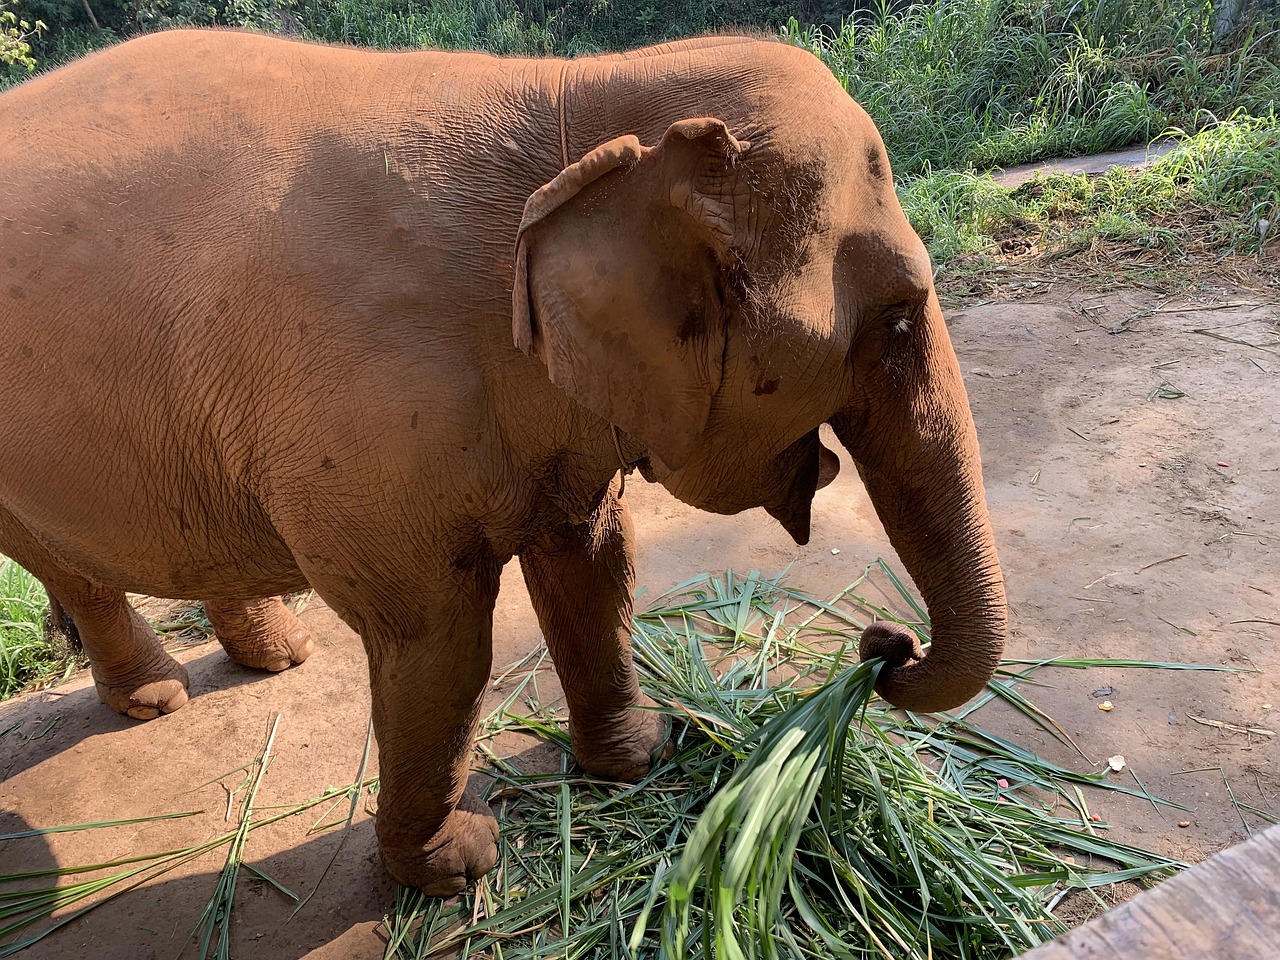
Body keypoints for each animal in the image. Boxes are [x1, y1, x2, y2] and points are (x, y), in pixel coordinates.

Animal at [2, 28, 1008, 896]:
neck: (578, 96)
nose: (885, 646)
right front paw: (460, 865)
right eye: (898, 320)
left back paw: (276, 659)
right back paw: (160, 700)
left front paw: (641, 757)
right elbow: (438, 640)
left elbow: (594, 563)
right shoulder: (373, 418)